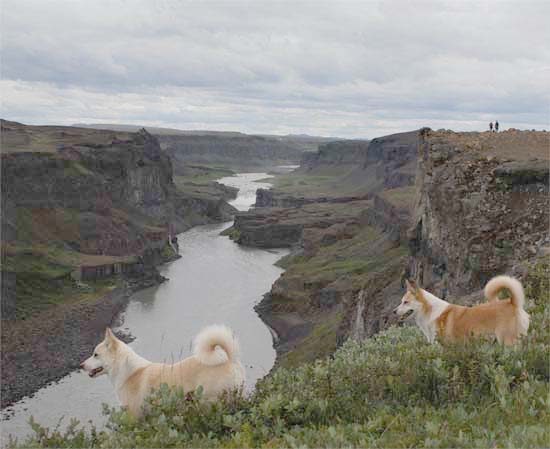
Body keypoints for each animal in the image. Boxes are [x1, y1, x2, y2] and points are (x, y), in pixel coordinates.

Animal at [396, 274, 532, 344]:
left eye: (406, 302)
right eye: (401, 302)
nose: (394, 311)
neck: (430, 311)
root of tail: (513, 303)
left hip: (507, 342)